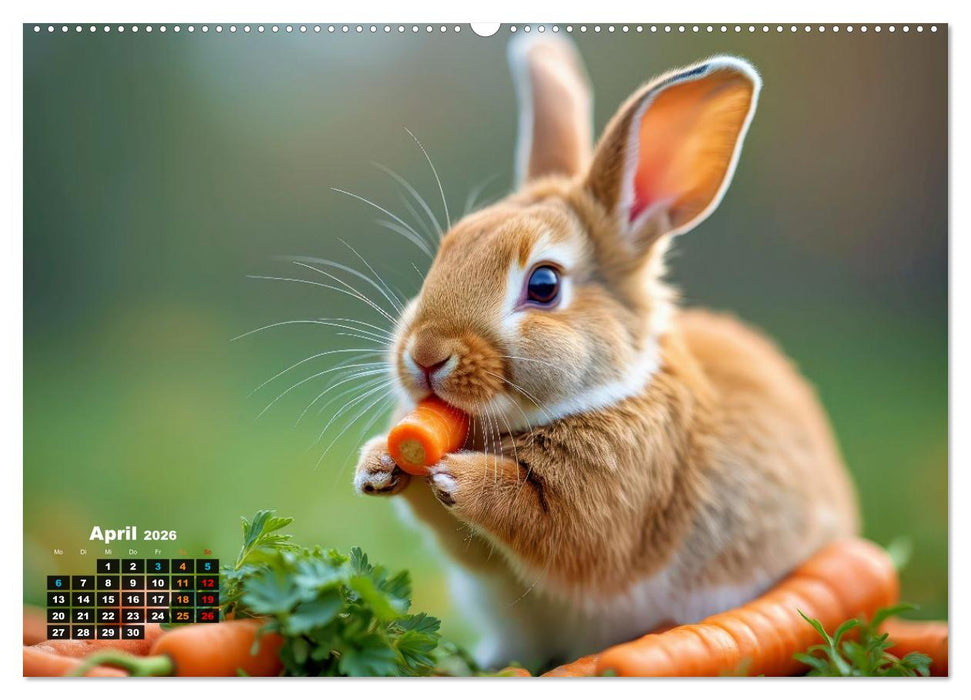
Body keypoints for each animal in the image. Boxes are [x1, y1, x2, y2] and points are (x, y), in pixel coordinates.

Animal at [352, 35, 859, 670]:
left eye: (544, 285)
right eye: (447, 251)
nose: (424, 356)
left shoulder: (616, 506)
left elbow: (552, 527)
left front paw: (460, 479)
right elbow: (458, 538)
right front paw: (379, 464)